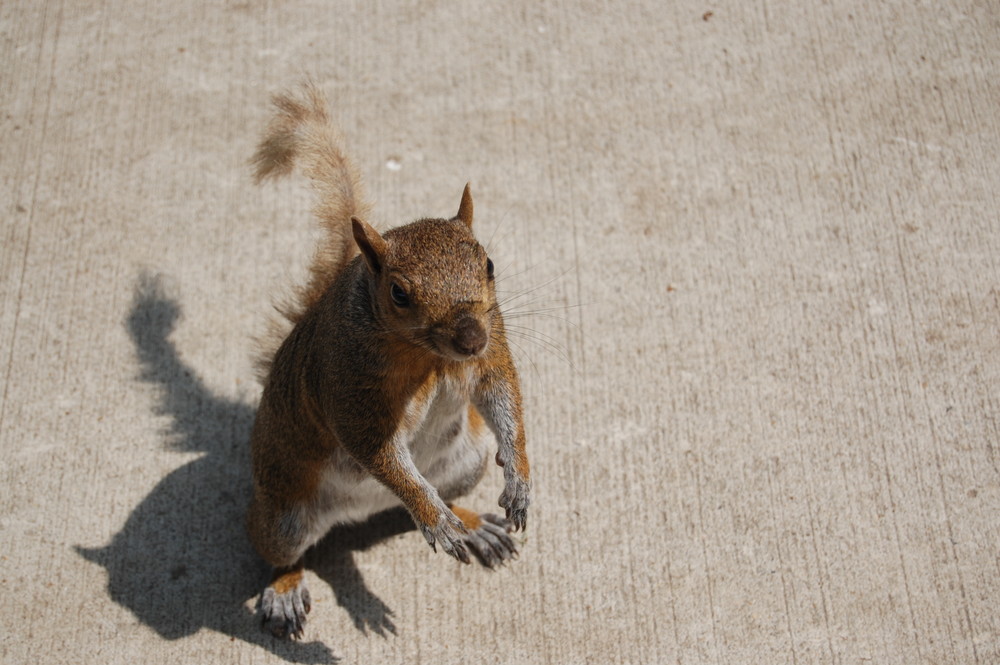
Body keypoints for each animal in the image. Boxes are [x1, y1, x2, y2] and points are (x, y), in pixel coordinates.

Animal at [245, 84, 532, 640]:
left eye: (487, 264)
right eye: (399, 294)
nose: (471, 338)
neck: (428, 359)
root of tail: (360, 513)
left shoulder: (493, 349)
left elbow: (502, 396)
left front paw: (520, 477)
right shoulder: (347, 387)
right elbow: (377, 452)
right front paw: (432, 517)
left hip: (466, 462)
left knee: (439, 494)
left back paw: (470, 524)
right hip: (284, 513)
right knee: (280, 553)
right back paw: (286, 589)